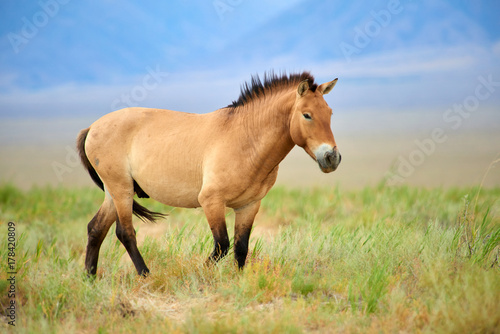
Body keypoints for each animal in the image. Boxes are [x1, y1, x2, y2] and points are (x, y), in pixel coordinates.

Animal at [77, 71, 340, 276]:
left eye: (330, 113)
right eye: (307, 114)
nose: (332, 157)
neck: (244, 138)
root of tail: (92, 127)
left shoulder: (249, 206)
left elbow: (240, 248)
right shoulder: (212, 201)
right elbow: (222, 245)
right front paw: (198, 275)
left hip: (114, 192)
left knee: (95, 229)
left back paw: (90, 278)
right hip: (121, 190)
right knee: (125, 232)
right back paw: (145, 275)